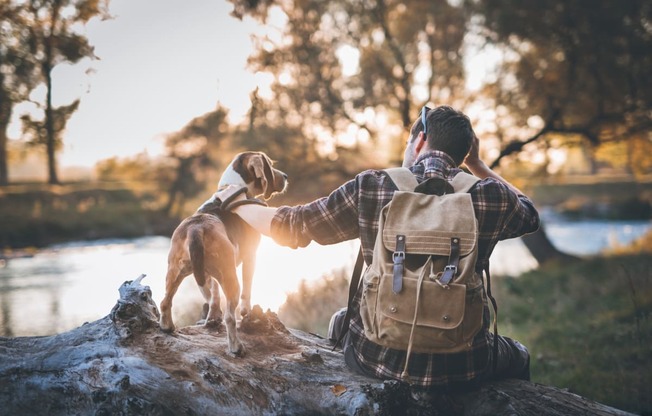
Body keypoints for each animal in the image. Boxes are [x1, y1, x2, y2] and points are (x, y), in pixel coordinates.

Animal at [159, 151, 286, 356]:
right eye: (270, 165)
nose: (286, 177)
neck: (232, 186)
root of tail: (196, 227)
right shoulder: (251, 256)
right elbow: (247, 291)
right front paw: (246, 311)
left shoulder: (211, 276)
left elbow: (214, 297)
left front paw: (212, 317)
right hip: (231, 279)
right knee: (230, 317)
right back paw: (236, 348)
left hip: (176, 272)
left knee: (165, 301)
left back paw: (167, 327)